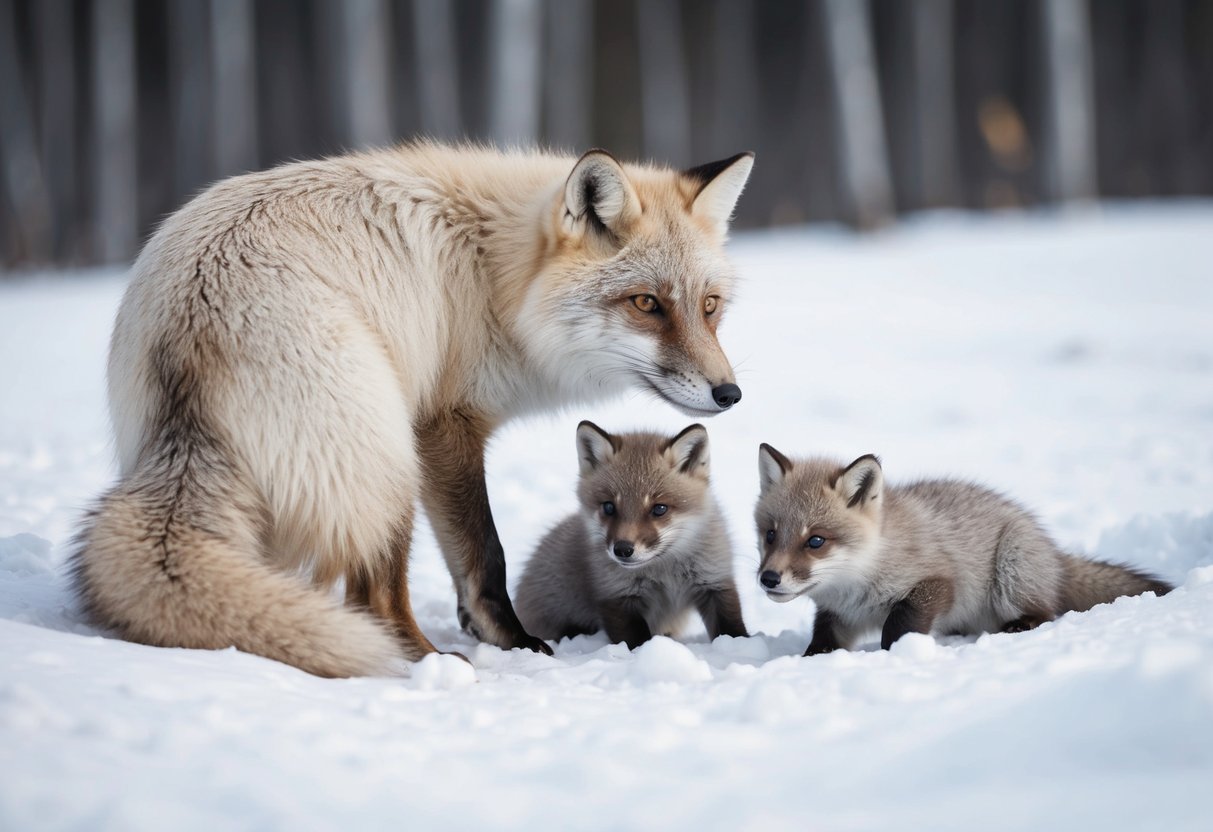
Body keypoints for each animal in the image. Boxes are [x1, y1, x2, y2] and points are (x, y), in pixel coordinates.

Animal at [514, 421, 747, 649]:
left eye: (659, 508)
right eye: (609, 507)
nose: (623, 550)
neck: (665, 573)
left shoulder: (714, 581)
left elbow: (732, 629)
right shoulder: (616, 595)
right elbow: (636, 641)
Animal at [753, 445, 1174, 655]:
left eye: (816, 540)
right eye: (770, 535)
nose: (768, 579)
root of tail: (1051, 550)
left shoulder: (936, 582)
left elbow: (898, 626)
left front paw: (898, 654)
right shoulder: (838, 614)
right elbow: (822, 638)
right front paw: (813, 657)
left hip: (1011, 573)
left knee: (1045, 612)